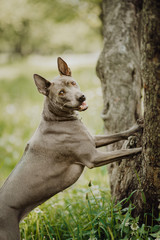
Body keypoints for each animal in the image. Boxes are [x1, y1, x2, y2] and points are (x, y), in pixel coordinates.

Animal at [0, 57, 142, 239]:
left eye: (73, 83)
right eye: (61, 92)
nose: (81, 97)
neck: (57, 119)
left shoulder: (93, 140)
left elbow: (119, 134)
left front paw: (136, 129)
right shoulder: (93, 158)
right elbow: (124, 151)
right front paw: (142, 150)